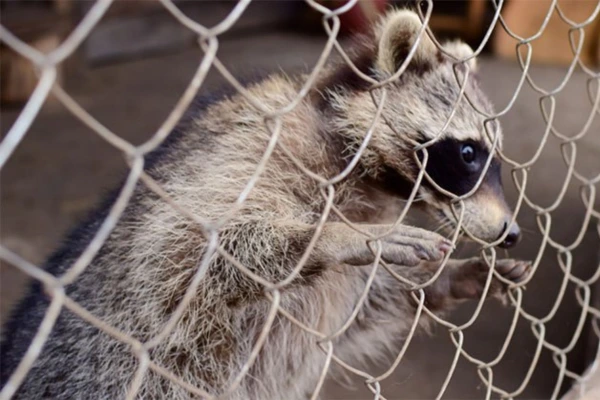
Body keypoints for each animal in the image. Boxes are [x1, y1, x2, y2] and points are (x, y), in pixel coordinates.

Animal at [3, 9, 528, 400]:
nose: (512, 233)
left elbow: (362, 308)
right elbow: (183, 251)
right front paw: (331, 237)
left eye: (497, 159)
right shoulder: (250, 151)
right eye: (468, 154)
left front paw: (448, 278)